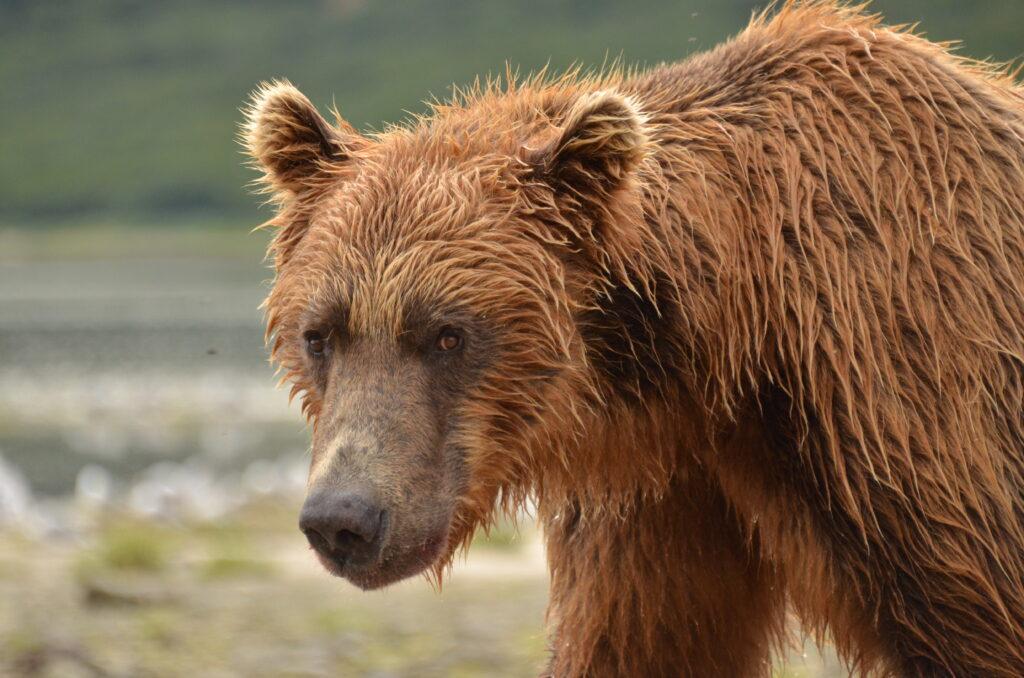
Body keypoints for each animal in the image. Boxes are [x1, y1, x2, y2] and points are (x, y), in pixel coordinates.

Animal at [241, 2, 1024, 675]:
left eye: (446, 335)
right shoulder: (662, 492)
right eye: (321, 335)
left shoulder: (904, 402)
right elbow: (643, 639)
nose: (344, 516)